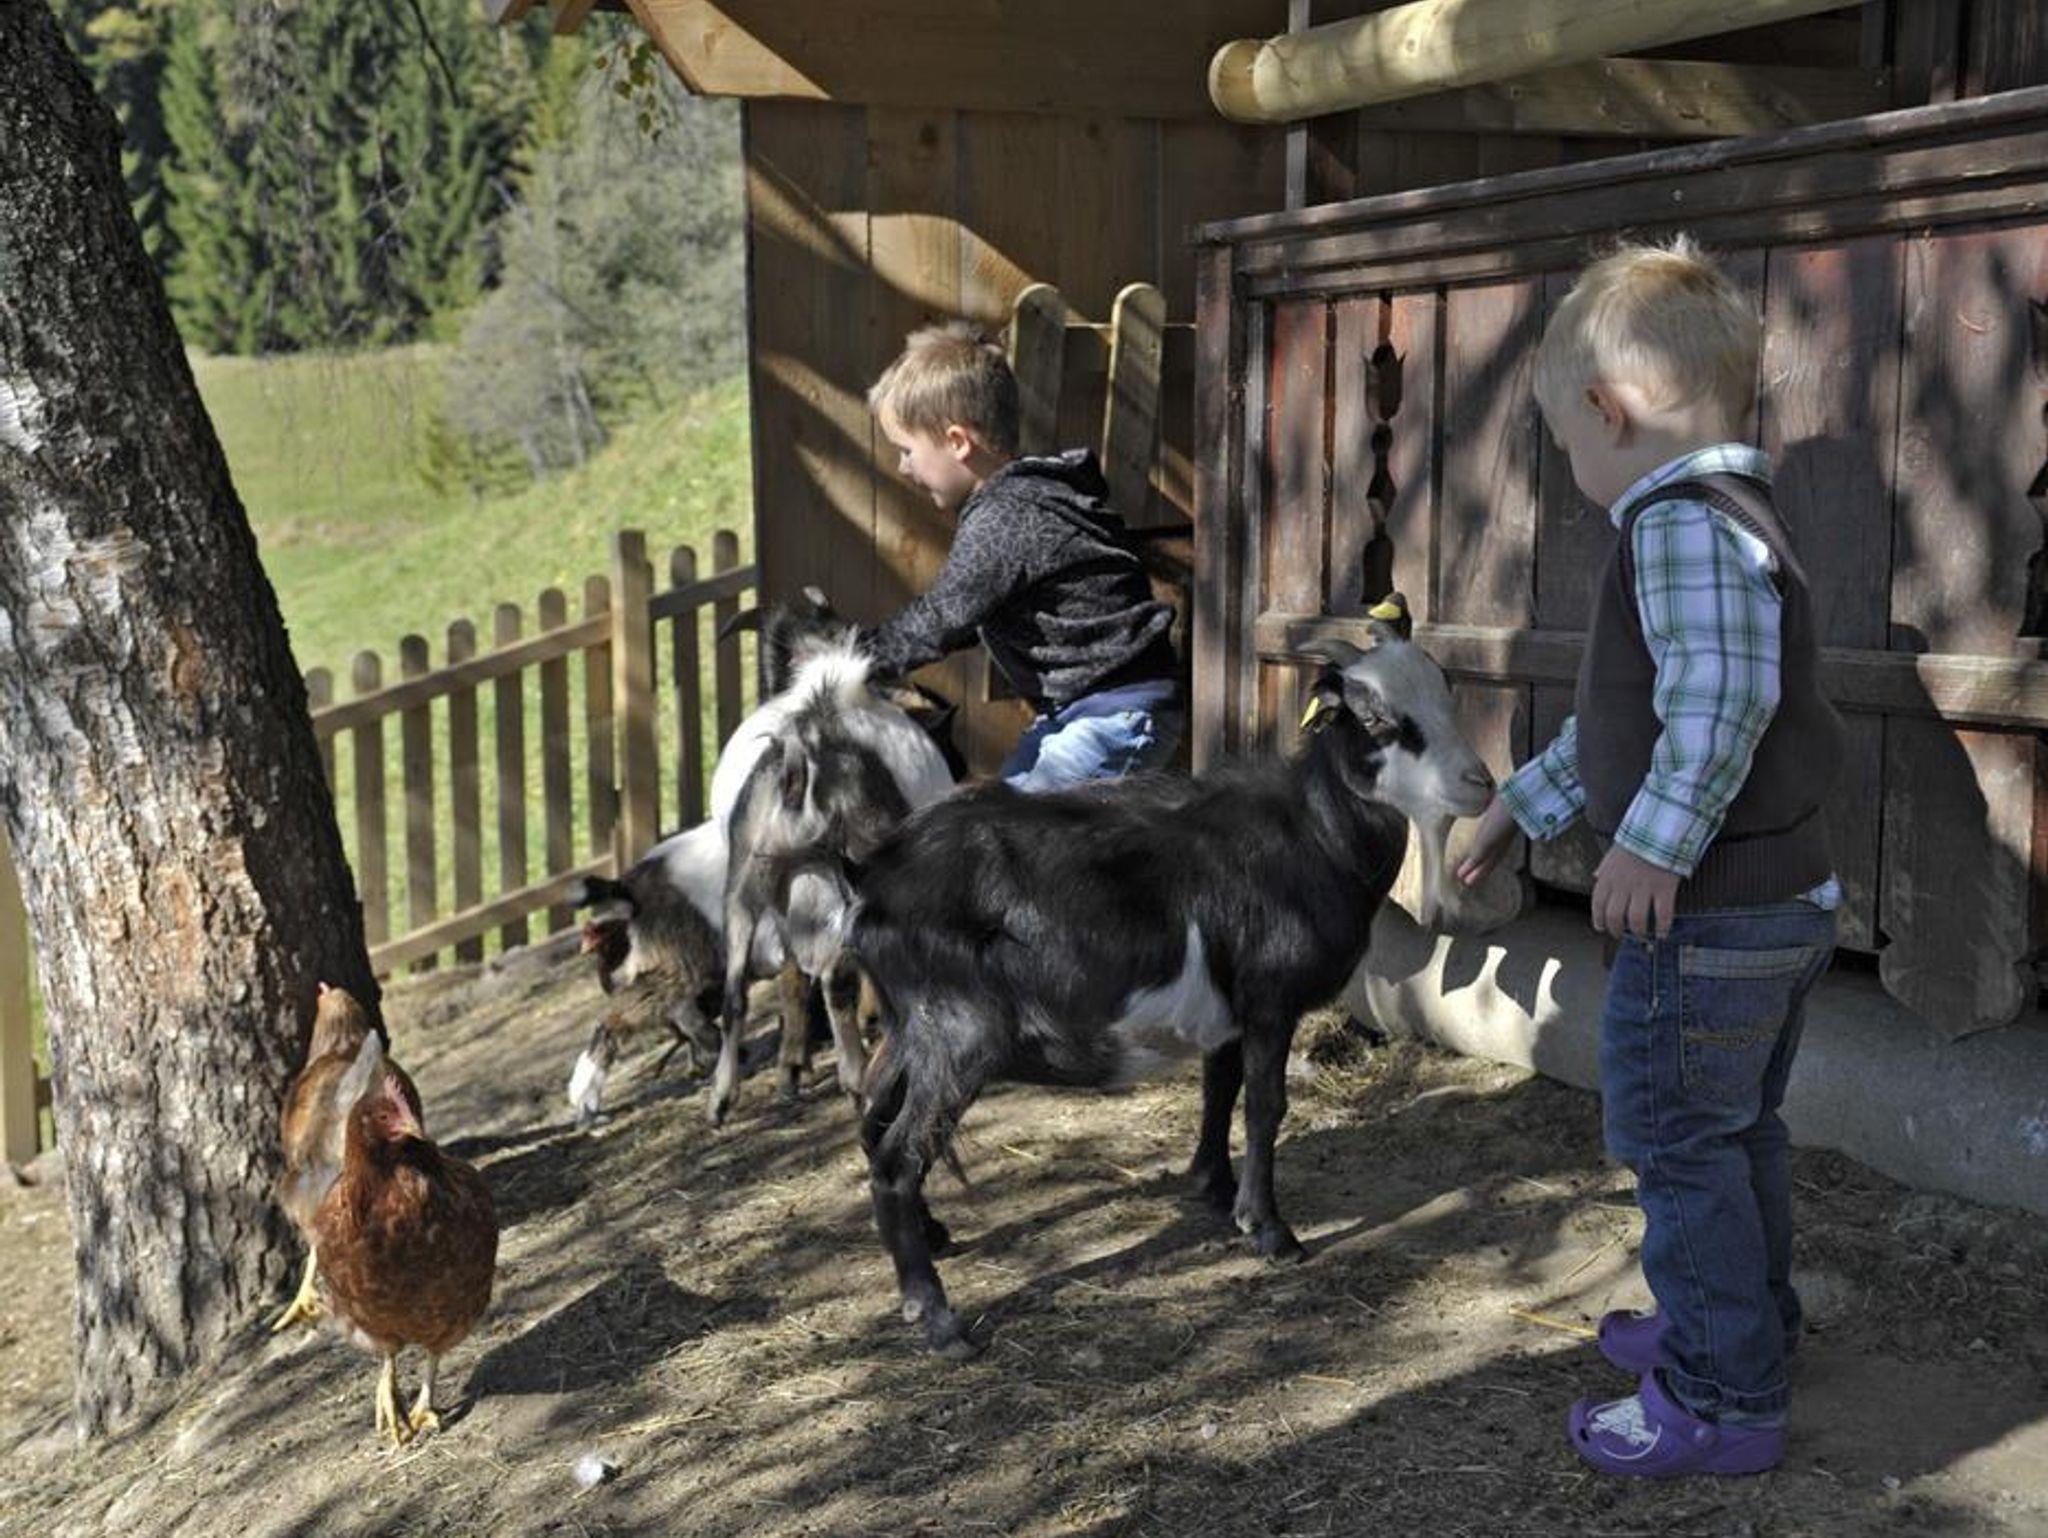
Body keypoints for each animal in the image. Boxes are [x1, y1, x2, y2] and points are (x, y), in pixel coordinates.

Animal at [846, 610, 1495, 1357]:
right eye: (1379, 719)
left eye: (1447, 693)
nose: (1480, 783)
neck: (1316, 833)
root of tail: (872, 874)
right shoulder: (1270, 999)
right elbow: (1265, 1106)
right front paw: (1270, 1230)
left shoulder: (1230, 1007)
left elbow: (1220, 1089)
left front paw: (1214, 1189)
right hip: (958, 1033)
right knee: (898, 1156)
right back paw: (938, 1318)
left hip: (910, 1029)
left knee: (873, 1116)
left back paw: (932, 1236)